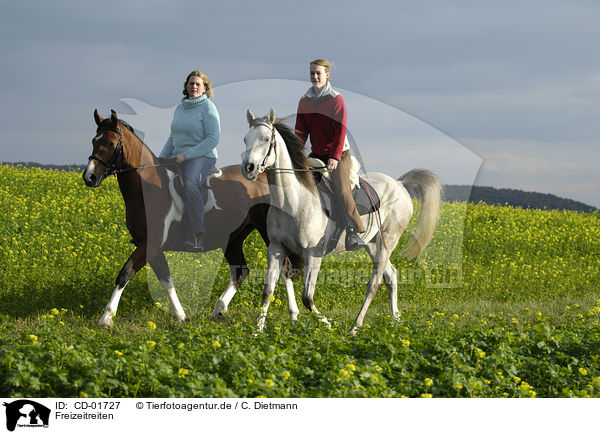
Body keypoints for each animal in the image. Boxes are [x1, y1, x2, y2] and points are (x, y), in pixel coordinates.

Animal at [84, 110, 300, 328]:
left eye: (111, 143)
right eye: (93, 140)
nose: (89, 177)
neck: (147, 188)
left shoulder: (150, 244)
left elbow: (124, 274)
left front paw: (106, 318)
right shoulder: (150, 246)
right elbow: (166, 280)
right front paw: (180, 315)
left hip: (266, 232)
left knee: (284, 269)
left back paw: (291, 316)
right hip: (233, 238)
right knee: (240, 271)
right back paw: (219, 309)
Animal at [241, 108, 442, 332]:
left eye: (266, 139)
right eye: (245, 139)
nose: (249, 168)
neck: (293, 201)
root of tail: (399, 184)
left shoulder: (313, 254)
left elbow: (307, 298)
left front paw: (329, 326)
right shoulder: (276, 248)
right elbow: (267, 291)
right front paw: (257, 331)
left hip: (388, 241)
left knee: (375, 282)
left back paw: (355, 326)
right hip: (372, 243)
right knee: (391, 275)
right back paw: (395, 320)